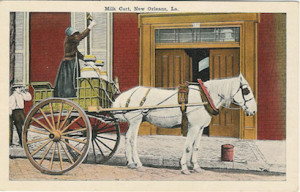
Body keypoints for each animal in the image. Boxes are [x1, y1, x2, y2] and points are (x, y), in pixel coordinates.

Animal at [111, 73, 256, 174]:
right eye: (246, 90)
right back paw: (139, 164)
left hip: (132, 122)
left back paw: (130, 163)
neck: (204, 97)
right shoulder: (193, 127)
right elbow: (187, 146)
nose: (254, 111)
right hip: (136, 120)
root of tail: (128, 94)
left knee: (127, 138)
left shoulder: (200, 128)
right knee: (132, 141)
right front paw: (184, 167)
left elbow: (195, 147)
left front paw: (196, 167)